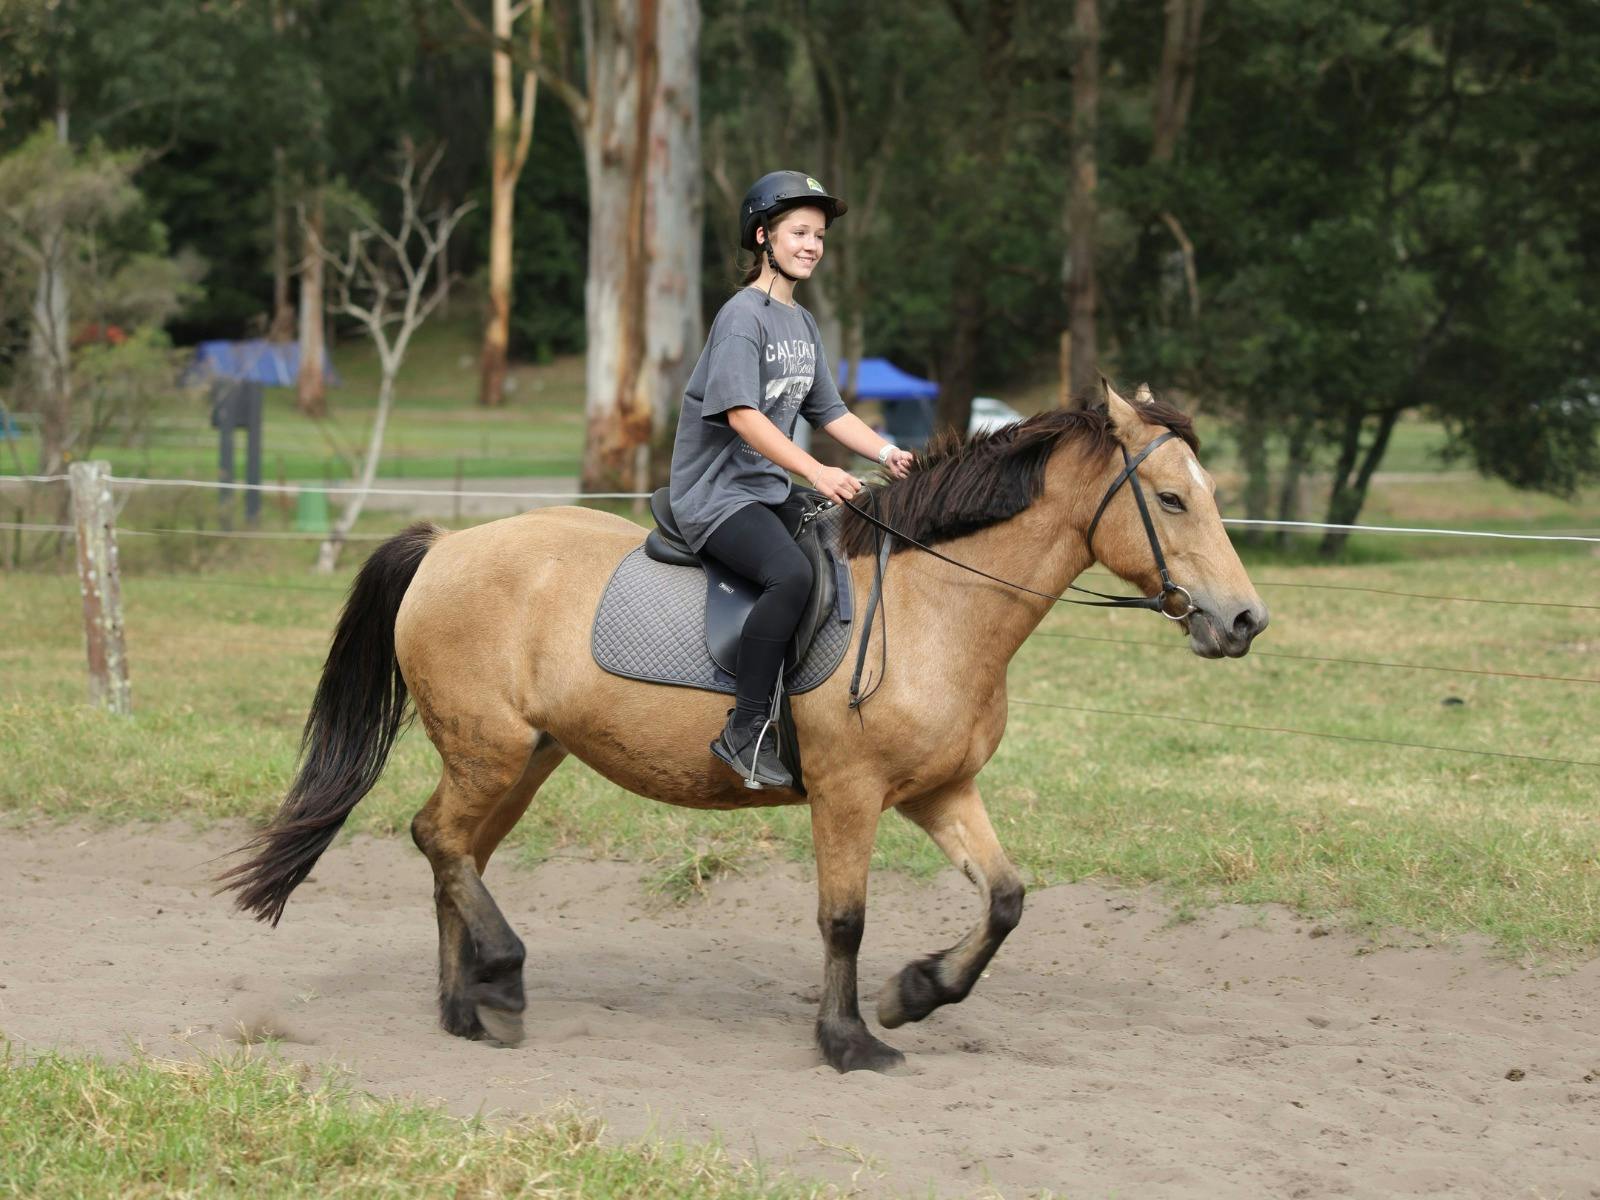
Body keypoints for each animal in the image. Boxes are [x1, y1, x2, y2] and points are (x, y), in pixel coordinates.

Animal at [219, 381, 1267, 1073]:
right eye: (1171, 498)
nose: (1245, 620)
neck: (935, 606)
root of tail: (445, 546)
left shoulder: (940, 792)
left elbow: (1007, 899)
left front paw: (915, 994)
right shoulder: (849, 795)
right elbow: (844, 919)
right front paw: (849, 1040)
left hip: (523, 760)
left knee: (454, 854)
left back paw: (464, 1007)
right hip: (491, 751)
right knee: (438, 840)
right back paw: (501, 984)